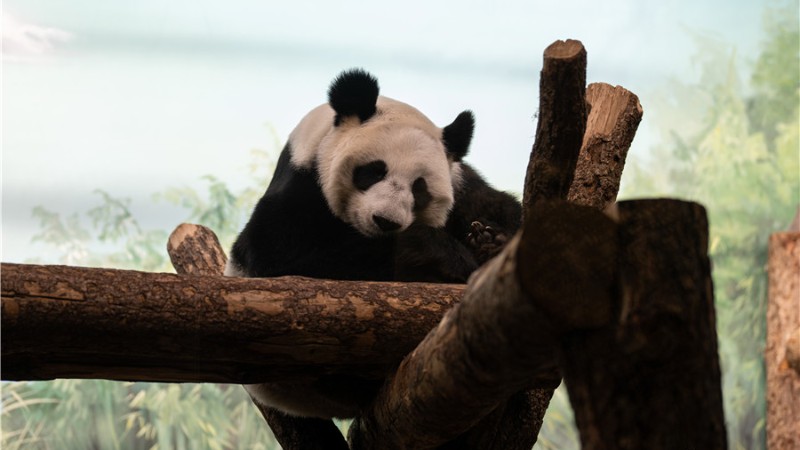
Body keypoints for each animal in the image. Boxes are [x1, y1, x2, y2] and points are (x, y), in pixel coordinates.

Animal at [227, 69, 524, 418]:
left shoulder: (460, 179)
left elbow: (500, 207)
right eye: (373, 171)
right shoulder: (299, 189)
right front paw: (438, 255)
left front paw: (490, 241)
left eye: (419, 187)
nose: (386, 221)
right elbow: (278, 256)